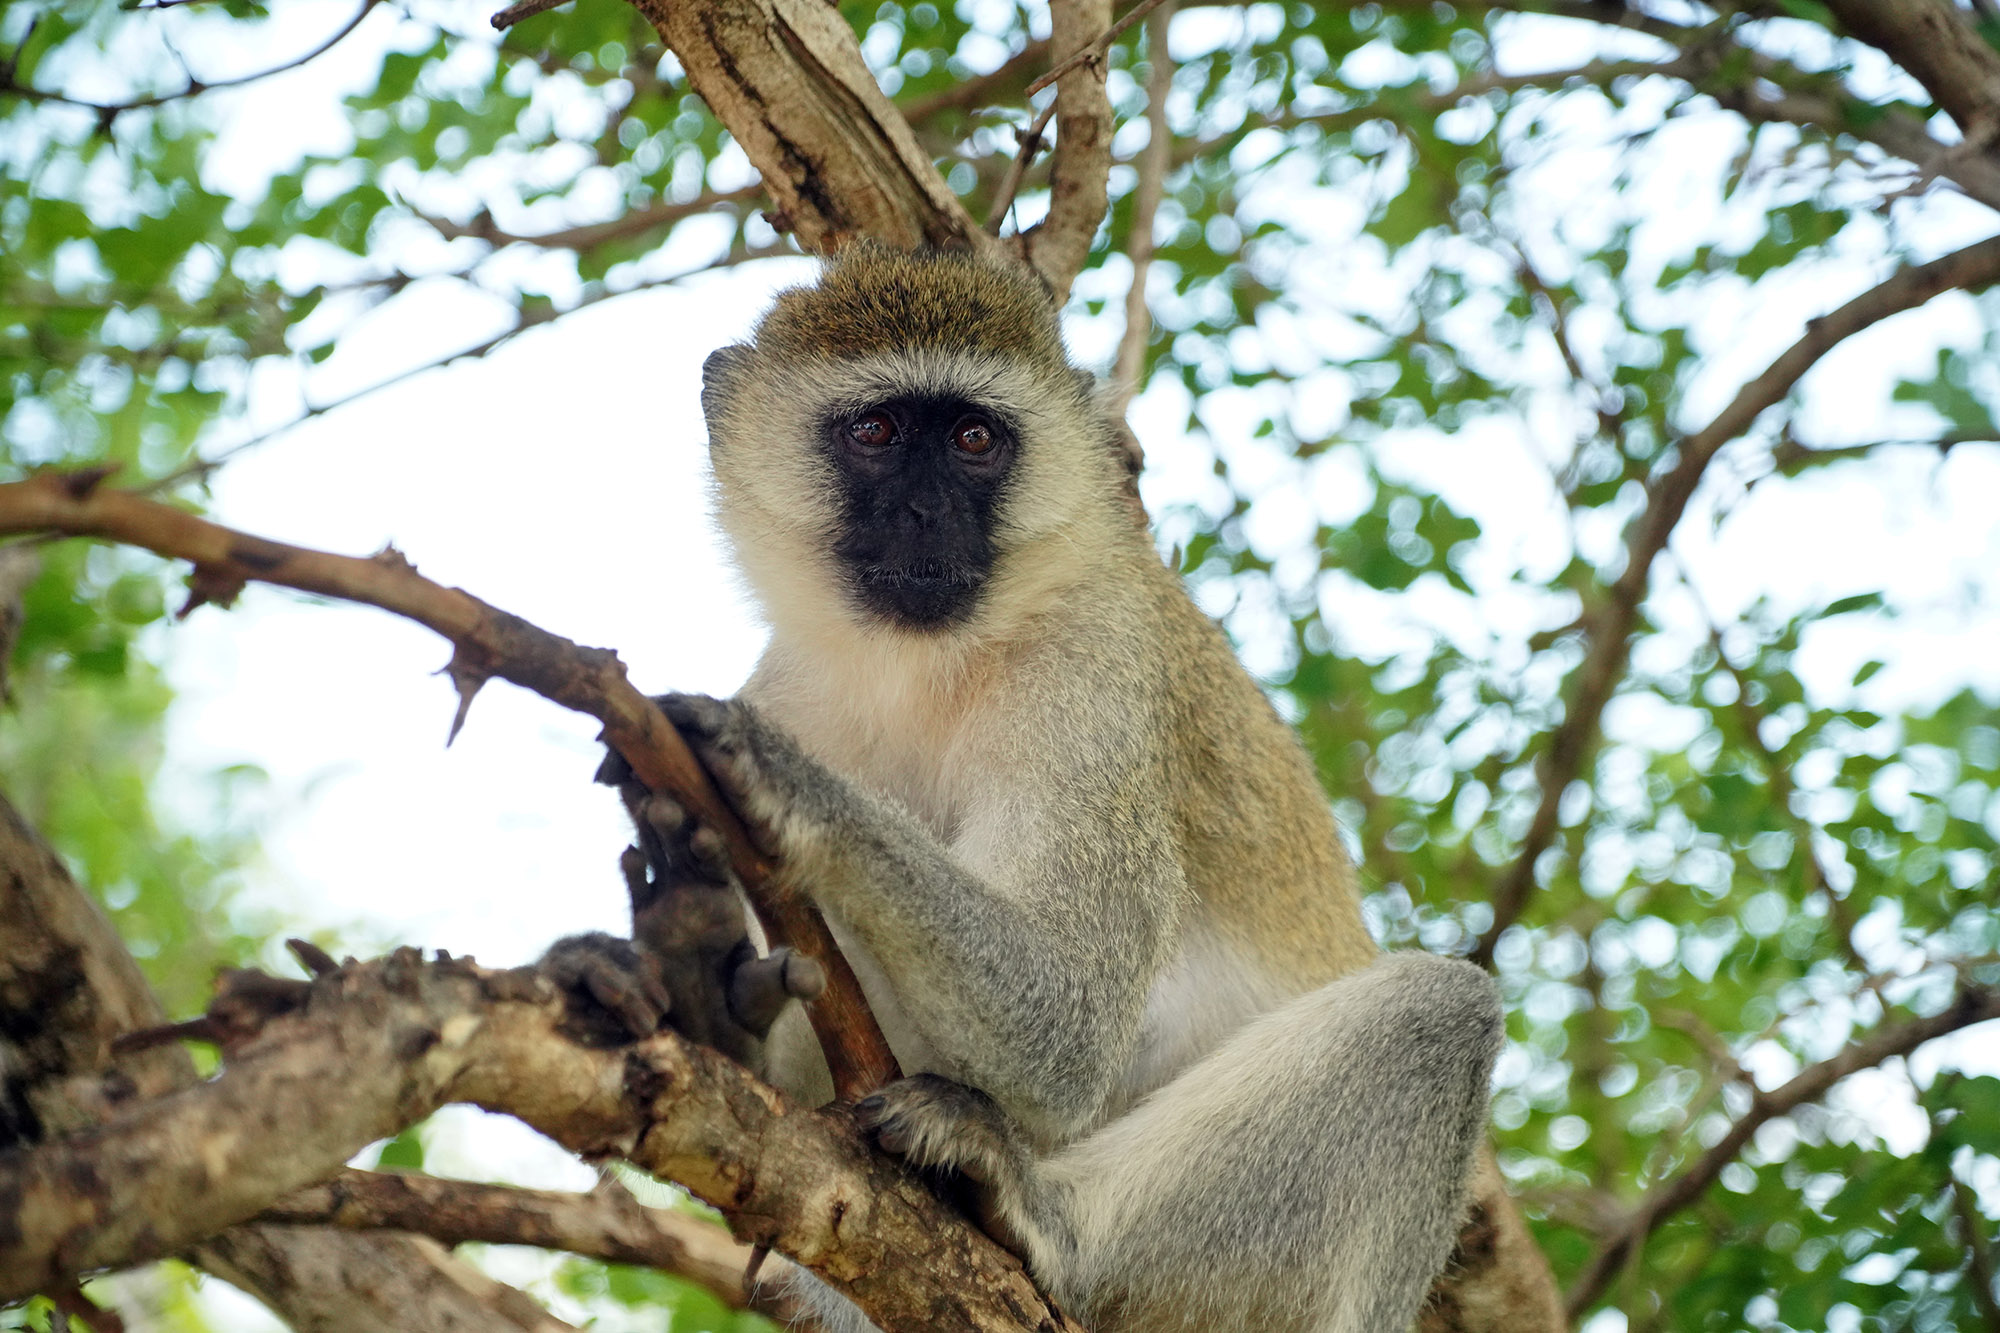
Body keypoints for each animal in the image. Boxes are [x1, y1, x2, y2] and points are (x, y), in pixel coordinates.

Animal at [593, 245, 1503, 1333]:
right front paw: (703, 976)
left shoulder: (1094, 676)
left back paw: (1050, 1226)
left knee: (1442, 1013)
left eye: (975, 439)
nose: (926, 514)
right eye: (876, 432)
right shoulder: (796, 684)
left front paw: (783, 780)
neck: (921, 667)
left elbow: (1065, 1024)